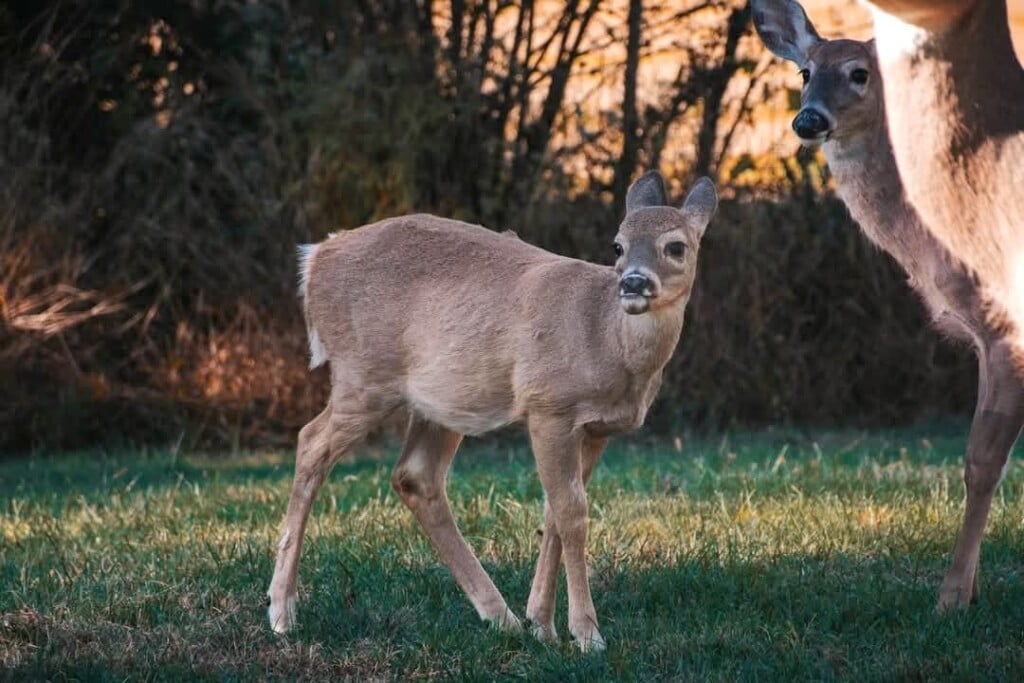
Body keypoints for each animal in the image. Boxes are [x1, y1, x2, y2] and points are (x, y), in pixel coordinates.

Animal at [265, 172, 718, 651]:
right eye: (618, 245)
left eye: (676, 247)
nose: (632, 283)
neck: (607, 337)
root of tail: (315, 260)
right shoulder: (549, 406)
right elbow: (572, 514)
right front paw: (586, 634)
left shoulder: (596, 428)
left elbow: (554, 513)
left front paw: (541, 624)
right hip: (363, 374)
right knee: (311, 443)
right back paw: (282, 611)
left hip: (442, 400)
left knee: (415, 475)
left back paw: (501, 616)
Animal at [752, 0, 1024, 613]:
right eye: (805, 72)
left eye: (859, 73)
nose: (808, 120)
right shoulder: (983, 340)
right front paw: (970, 590)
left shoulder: (1006, 330)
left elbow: (982, 460)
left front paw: (950, 598)